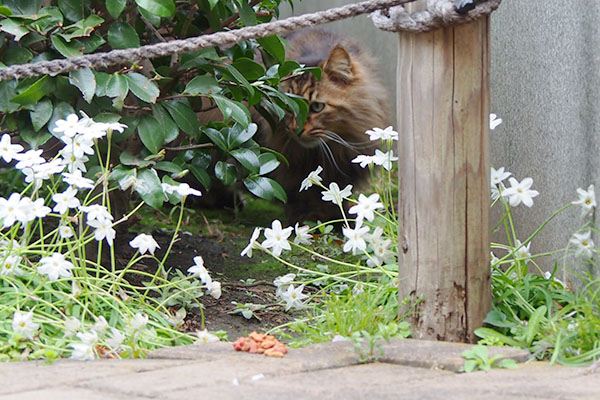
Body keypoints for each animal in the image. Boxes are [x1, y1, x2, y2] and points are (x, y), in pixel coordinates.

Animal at [253, 30, 390, 225]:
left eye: (317, 107)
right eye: (288, 107)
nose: (296, 130)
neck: (319, 155)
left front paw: (338, 218)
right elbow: (301, 196)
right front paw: (309, 220)